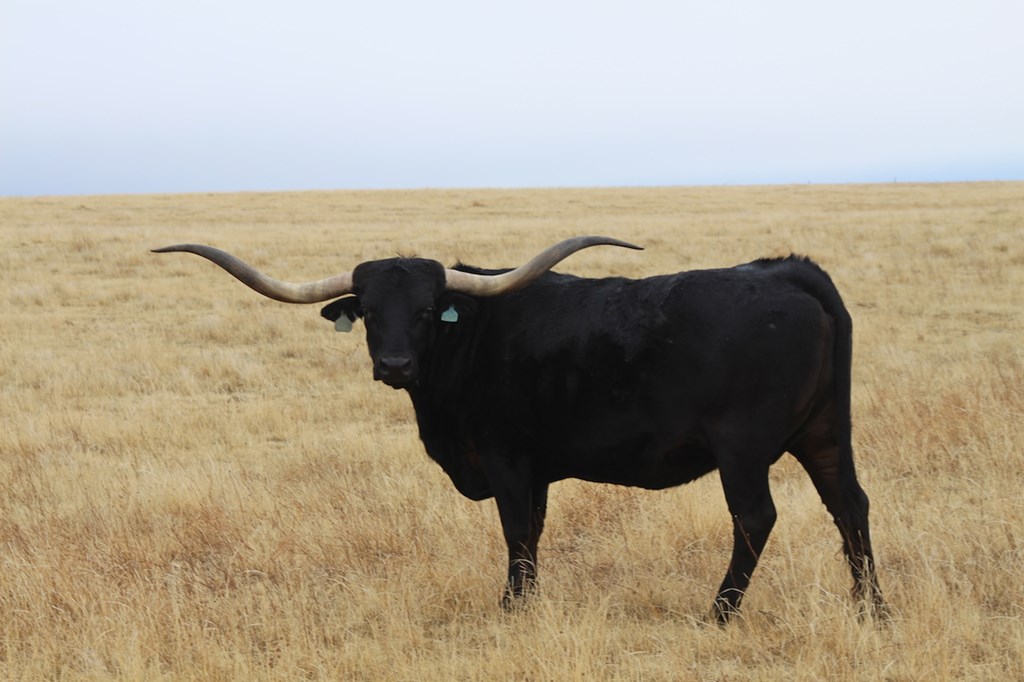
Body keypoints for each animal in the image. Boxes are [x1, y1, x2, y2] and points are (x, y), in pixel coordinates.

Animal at [154, 236, 886, 623]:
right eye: (369, 311)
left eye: (427, 310)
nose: (394, 365)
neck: (471, 337)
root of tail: (788, 270)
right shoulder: (538, 472)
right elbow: (533, 531)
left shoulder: (507, 462)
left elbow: (516, 534)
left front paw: (512, 608)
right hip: (826, 434)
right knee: (850, 505)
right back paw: (870, 608)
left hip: (743, 450)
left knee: (756, 519)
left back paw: (720, 614)